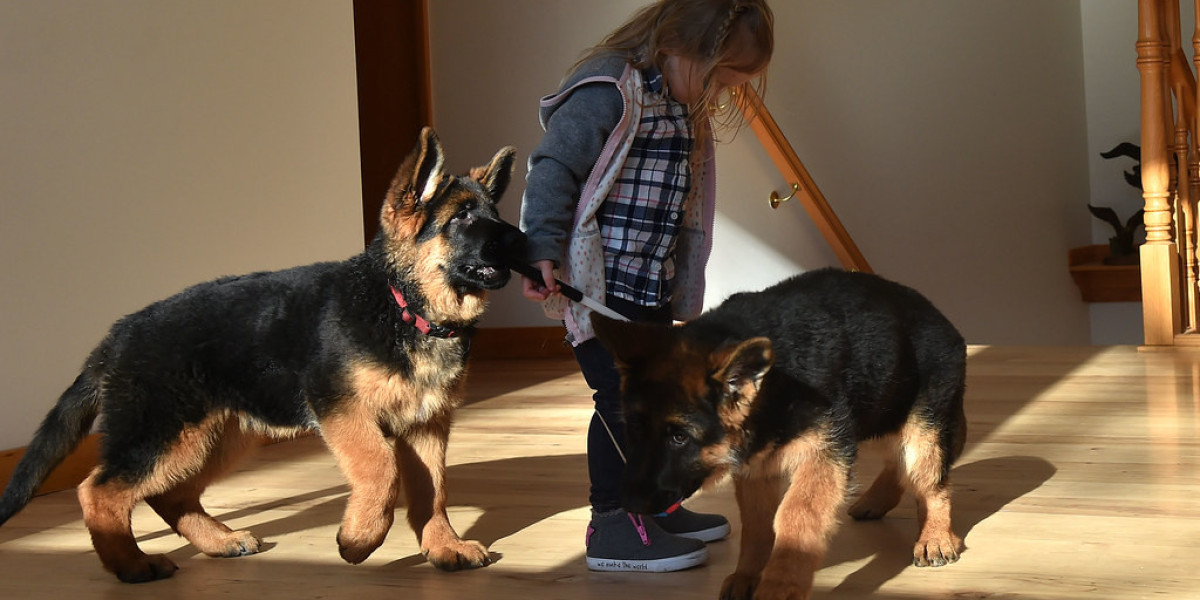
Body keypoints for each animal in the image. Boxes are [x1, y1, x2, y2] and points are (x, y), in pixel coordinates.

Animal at [1, 126, 525, 580]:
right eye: (462, 217)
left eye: (493, 214)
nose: (523, 238)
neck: (402, 304)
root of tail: (116, 336)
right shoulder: (342, 410)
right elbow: (382, 468)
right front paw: (359, 539)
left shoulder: (426, 424)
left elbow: (433, 489)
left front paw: (443, 546)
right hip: (163, 433)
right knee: (99, 491)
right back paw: (131, 564)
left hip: (215, 437)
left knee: (170, 496)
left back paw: (217, 542)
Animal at [590, 268, 964, 600]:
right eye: (635, 428)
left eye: (679, 437)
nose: (630, 506)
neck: (774, 384)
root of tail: (939, 316)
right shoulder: (756, 468)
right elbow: (756, 526)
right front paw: (748, 575)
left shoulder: (824, 454)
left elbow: (796, 515)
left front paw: (780, 585)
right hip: (881, 408)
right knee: (898, 461)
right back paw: (879, 502)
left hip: (923, 428)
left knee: (931, 482)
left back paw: (934, 536)